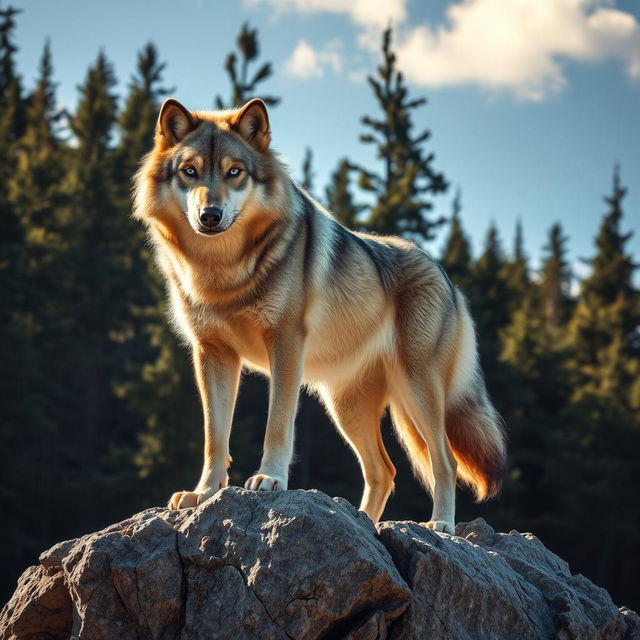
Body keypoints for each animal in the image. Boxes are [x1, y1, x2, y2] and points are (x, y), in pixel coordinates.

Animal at [134, 97, 504, 532]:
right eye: (190, 172)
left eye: (234, 172)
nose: (210, 215)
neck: (222, 271)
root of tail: (448, 278)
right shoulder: (213, 354)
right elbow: (215, 437)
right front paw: (204, 493)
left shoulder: (285, 345)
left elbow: (277, 425)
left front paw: (269, 479)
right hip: (347, 408)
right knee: (384, 471)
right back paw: (363, 523)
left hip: (418, 393)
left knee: (443, 463)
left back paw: (440, 525)